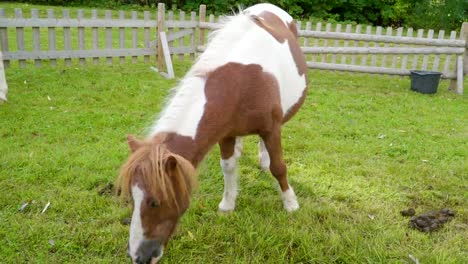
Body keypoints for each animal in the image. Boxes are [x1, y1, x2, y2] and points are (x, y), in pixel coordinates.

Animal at [117, 4, 308, 264]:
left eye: (155, 202)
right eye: (130, 198)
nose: (138, 256)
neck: (242, 82)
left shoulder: (271, 129)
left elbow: (279, 167)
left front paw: (290, 204)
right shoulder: (225, 134)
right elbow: (228, 167)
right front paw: (227, 204)